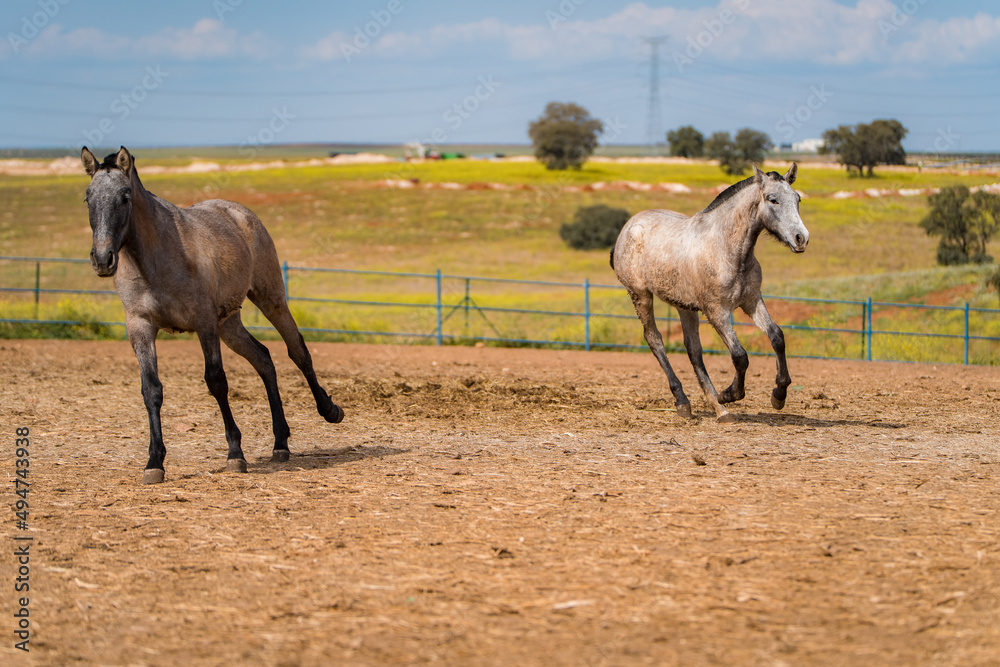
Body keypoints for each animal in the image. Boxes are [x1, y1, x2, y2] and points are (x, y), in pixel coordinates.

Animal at [81, 146, 344, 484]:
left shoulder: (204, 322)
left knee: (297, 351)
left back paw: (329, 410)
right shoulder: (140, 327)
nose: (103, 259)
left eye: (125, 197)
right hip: (229, 324)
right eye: (88, 198)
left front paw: (235, 453)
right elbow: (151, 389)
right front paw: (154, 462)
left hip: (269, 300)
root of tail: (240, 213)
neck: (155, 259)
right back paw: (280, 443)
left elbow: (216, 381)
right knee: (264, 359)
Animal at [611, 163, 808, 422]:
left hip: (684, 306)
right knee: (655, 340)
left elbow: (777, 336)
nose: (801, 238)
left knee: (693, 349)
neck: (727, 249)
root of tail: (628, 227)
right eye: (772, 199)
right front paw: (730, 394)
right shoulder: (717, 311)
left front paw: (779, 395)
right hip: (640, 296)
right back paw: (685, 401)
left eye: (797, 199)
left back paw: (717, 408)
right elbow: (739, 355)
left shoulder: (751, 301)